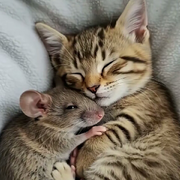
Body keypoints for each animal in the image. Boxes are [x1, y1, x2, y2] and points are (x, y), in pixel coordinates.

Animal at [35, 0, 180, 179]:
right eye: (76, 73)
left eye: (108, 64)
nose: (93, 87)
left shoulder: (144, 112)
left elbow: (112, 130)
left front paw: (84, 157)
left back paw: (64, 171)